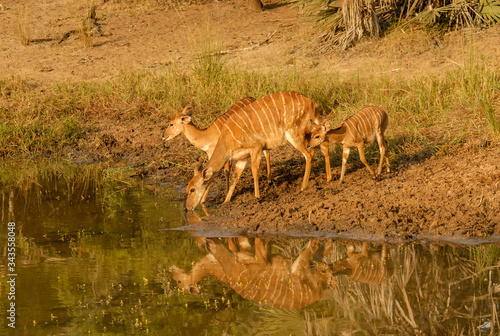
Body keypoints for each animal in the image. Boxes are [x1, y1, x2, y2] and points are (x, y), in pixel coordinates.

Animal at [184, 90, 332, 211]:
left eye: (192, 189)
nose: (187, 208)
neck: (227, 139)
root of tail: (312, 103)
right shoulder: (242, 158)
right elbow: (235, 177)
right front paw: (226, 201)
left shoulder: (256, 148)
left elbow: (255, 171)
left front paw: (257, 197)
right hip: (312, 133)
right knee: (324, 145)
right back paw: (329, 179)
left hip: (295, 134)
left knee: (309, 154)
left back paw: (303, 186)